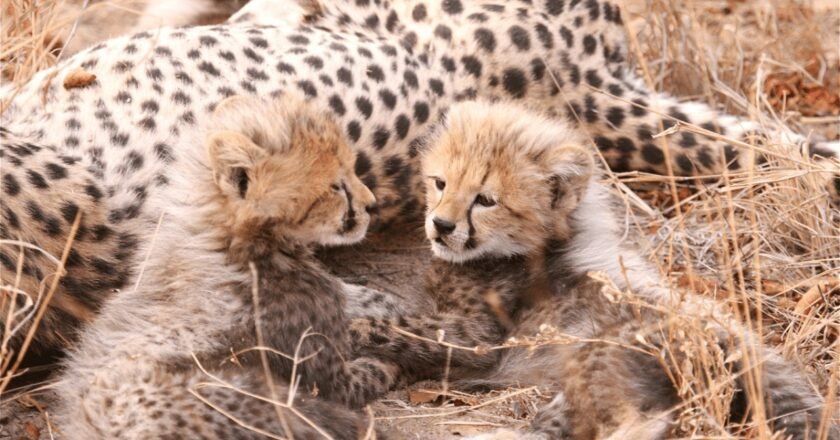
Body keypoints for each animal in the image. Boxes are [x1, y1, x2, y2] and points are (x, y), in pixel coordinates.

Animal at [54, 93, 397, 439]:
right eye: (335, 186)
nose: (371, 205)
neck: (232, 240)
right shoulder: (326, 374)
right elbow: (364, 376)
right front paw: (388, 359)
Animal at [350, 100, 836, 440]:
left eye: (485, 200)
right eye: (440, 183)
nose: (441, 225)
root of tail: (737, 337)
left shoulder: (479, 340)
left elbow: (400, 323)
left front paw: (351, 324)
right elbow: (390, 310)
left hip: (599, 354)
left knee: (638, 424)